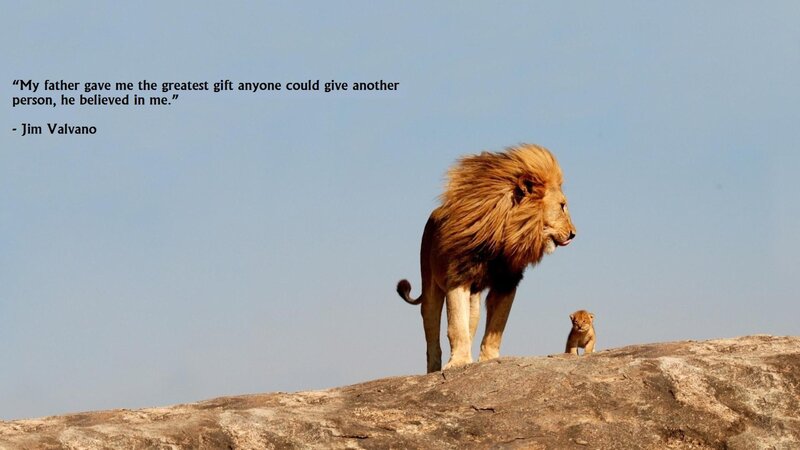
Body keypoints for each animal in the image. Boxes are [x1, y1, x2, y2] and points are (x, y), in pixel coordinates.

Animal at [396, 143, 576, 373]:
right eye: (562, 206)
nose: (573, 234)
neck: (503, 235)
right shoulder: (457, 277)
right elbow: (456, 326)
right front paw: (458, 362)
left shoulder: (507, 282)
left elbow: (496, 327)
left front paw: (488, 360)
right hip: (430, 287)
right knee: (432, 333)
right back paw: (434, 369)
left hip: (474, 301)